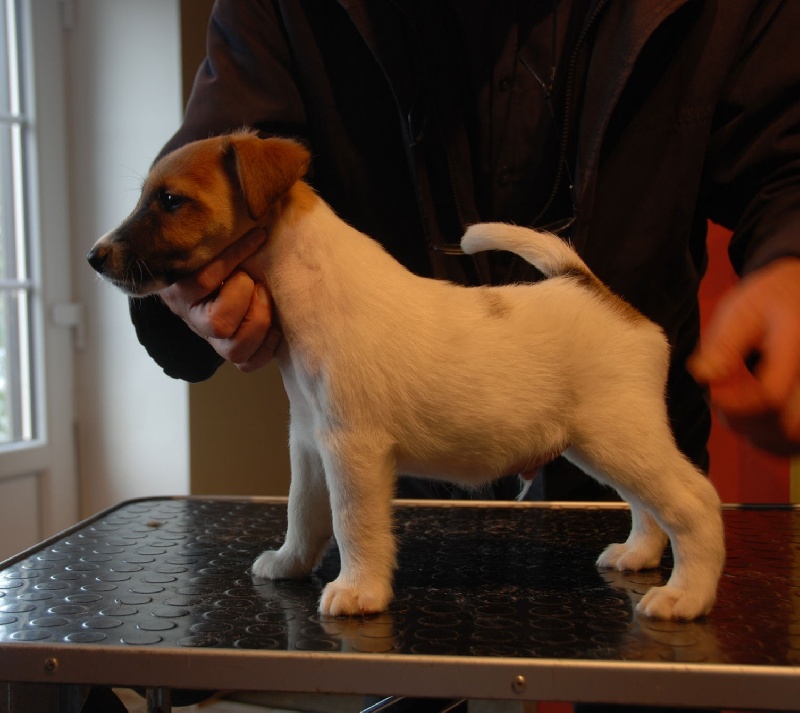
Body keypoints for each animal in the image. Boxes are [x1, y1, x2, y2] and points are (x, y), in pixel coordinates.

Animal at [86, 131, 724, 620]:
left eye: (171, 200)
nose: (94, 256)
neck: (313, 287)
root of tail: (594, 291)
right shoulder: (310, 446)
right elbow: (303, 513)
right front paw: (290, 564)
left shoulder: (353, 451)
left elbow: (352, 524)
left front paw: (357, 590)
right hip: (608, 446)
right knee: (649, 507)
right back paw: (638, 555)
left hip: (619, 439)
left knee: (692, 502)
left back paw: (685, 596)